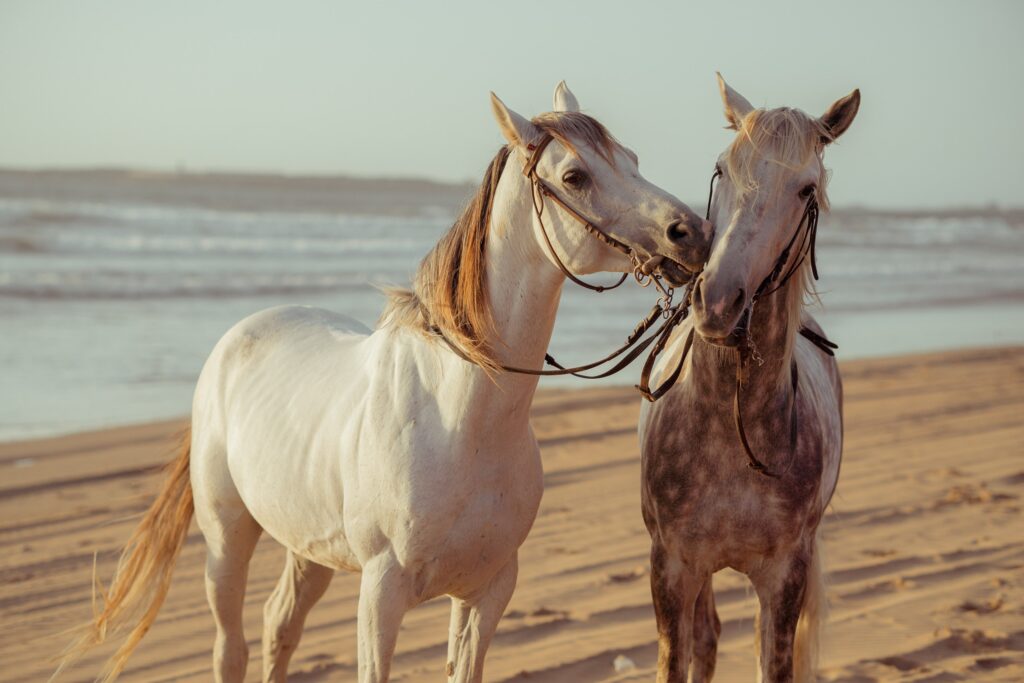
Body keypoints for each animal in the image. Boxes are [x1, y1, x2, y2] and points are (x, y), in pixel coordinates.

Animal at [58, 81, 712, 683]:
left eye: (631, 157)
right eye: (575, 175)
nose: (694, 234)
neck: (462, 420)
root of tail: (240, 335)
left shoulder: (488, 591)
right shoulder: (382, 593)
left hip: (308, 546)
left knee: (279, 625)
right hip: (227, 539)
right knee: (231, 647)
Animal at [638, 76, 856, 683]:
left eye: (806, 190)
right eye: (721, 169)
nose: (716, 301)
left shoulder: (784, 580)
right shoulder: (672, 569)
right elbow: (680, 656)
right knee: (707, 638)